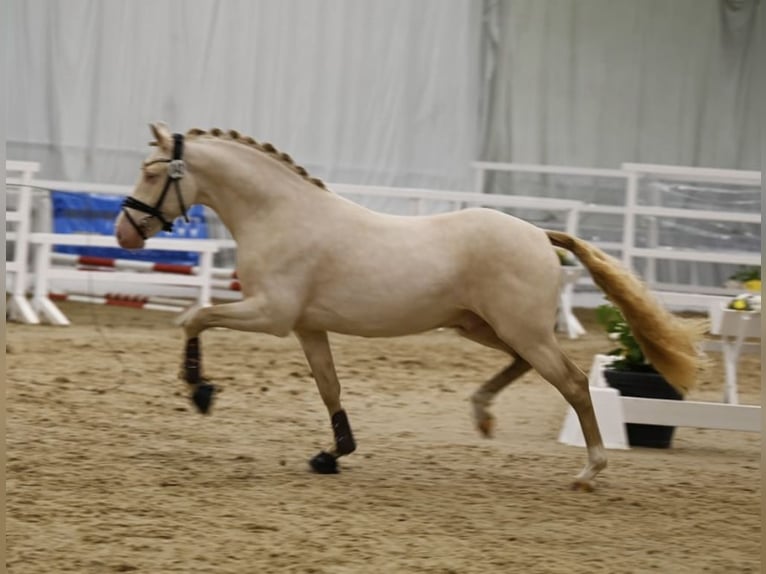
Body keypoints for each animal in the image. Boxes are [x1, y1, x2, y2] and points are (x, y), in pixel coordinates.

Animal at [115, 122, 700, 490]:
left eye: (152, 172)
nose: (124, 232)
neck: (279, 214)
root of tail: (539, 234)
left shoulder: (271, 315)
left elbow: (194, 317)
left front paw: (201, 391)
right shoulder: (306, 327)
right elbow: (329, 387)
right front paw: (332, 454)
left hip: (520, 329)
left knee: (574, 383)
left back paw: (589, 471)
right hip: (486, 327)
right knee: (525, 366)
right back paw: (482, 413)